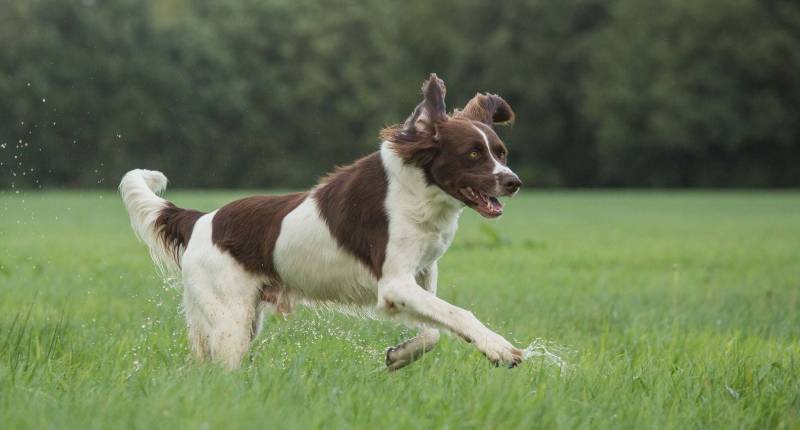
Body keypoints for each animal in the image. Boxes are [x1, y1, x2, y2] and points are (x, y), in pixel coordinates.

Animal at [119, 74, 524, 370]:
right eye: (472, 154)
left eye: (501, 153)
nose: (513, 182)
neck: (417, 190)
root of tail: (202, 220)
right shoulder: (395, 281)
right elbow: (458, 313)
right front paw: (500, 348)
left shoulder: (419, 275)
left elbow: (435, 330)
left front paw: (399, 355)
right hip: (229, 317)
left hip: (237, 315)